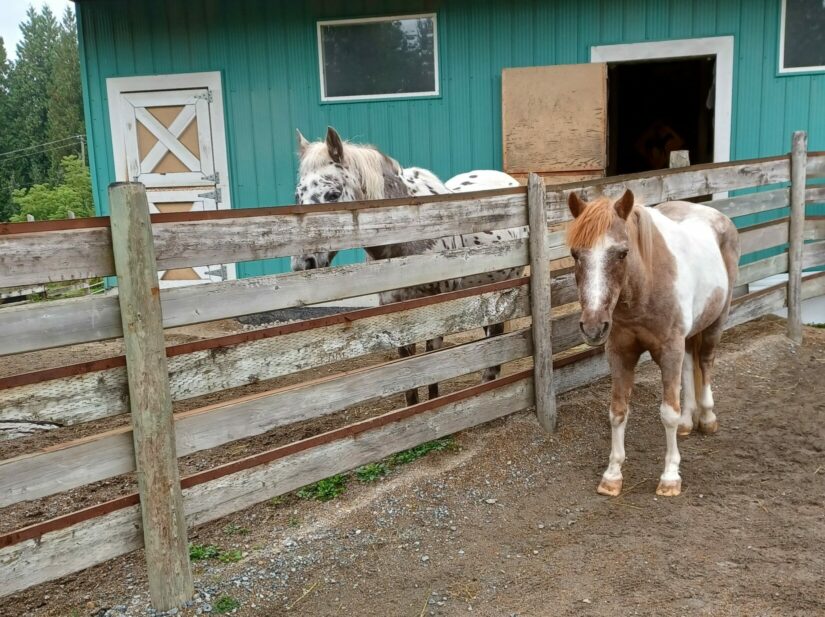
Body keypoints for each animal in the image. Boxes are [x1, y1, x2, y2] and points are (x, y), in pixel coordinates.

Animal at [568, 190, 740, 498]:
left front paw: (670, 477)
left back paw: (707, 418)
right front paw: (612, 475)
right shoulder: (620, 354)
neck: (644, 288)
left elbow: (667, 413)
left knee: (705, 362)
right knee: (689, 368)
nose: (593, 327)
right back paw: (687, 422)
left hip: (716, 322)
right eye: (576, 254)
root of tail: (716, 215)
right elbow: (618, 412)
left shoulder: (669, 350)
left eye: (622, 253)